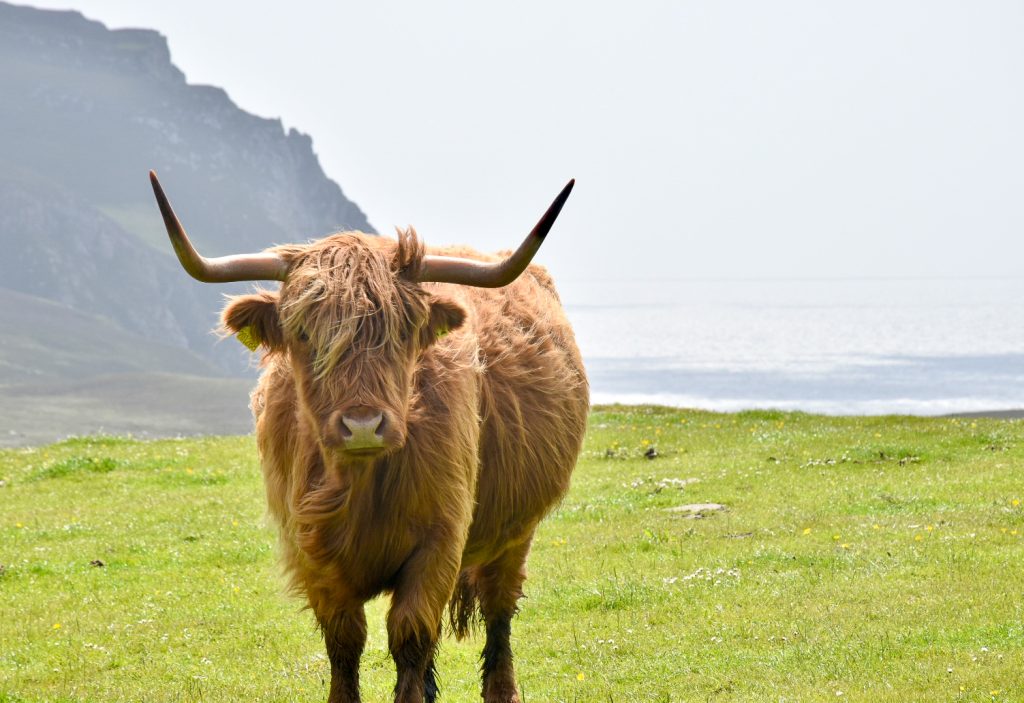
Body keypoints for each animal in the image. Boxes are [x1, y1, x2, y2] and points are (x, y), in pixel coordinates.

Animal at [148, 171, 589, 703]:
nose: (362, 425)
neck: (361, 486)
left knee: (499, 605)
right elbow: (345, 640)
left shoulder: (439, 541)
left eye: (403, 330)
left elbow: (410, 634)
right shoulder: (311, 549)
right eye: (303, 333)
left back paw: (502, 690)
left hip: (516, 530)